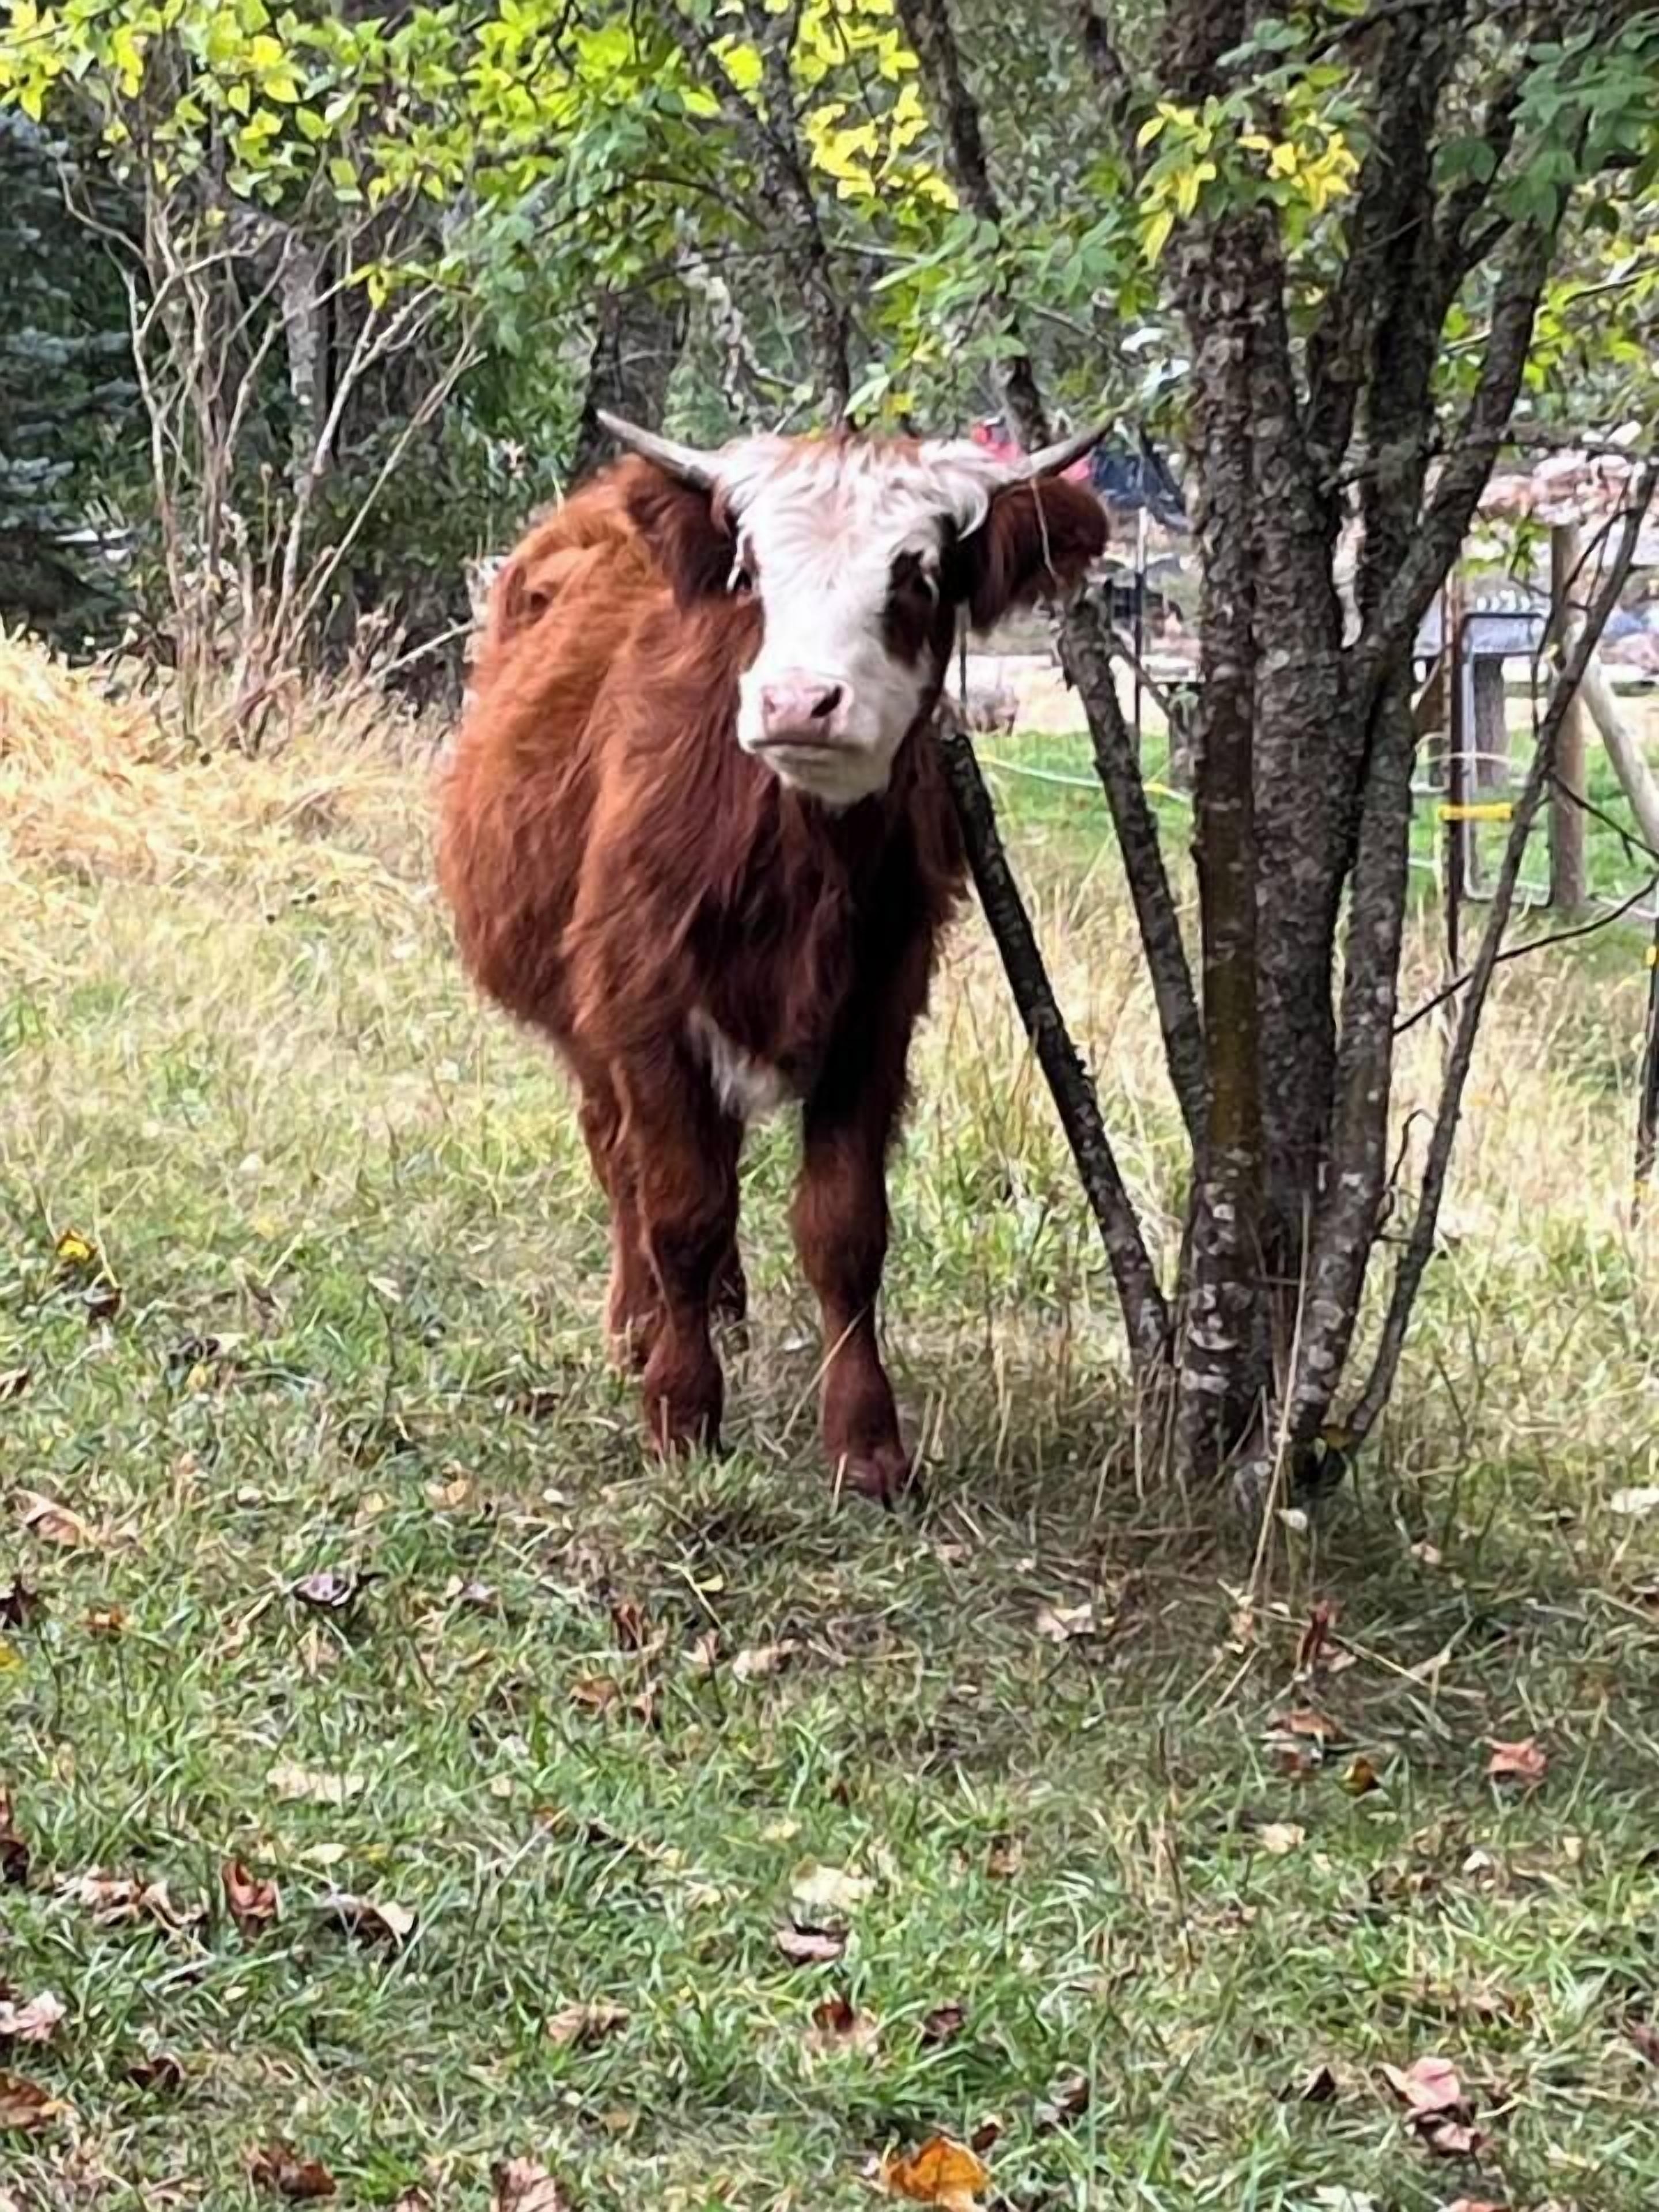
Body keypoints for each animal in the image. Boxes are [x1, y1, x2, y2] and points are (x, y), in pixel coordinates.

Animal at [437, 411, 1106, 1501]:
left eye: (917, 576)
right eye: (751, 570)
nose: (798, 702)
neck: (795, 860)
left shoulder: (877, 1013)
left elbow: (843, 1228)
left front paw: (867, 1444)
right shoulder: (644, 1006)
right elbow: (678, 1207)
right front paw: (680, 1410)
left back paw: (721, 1306)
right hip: (584, 1020)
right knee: (619, 1156)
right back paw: (641, 1321)